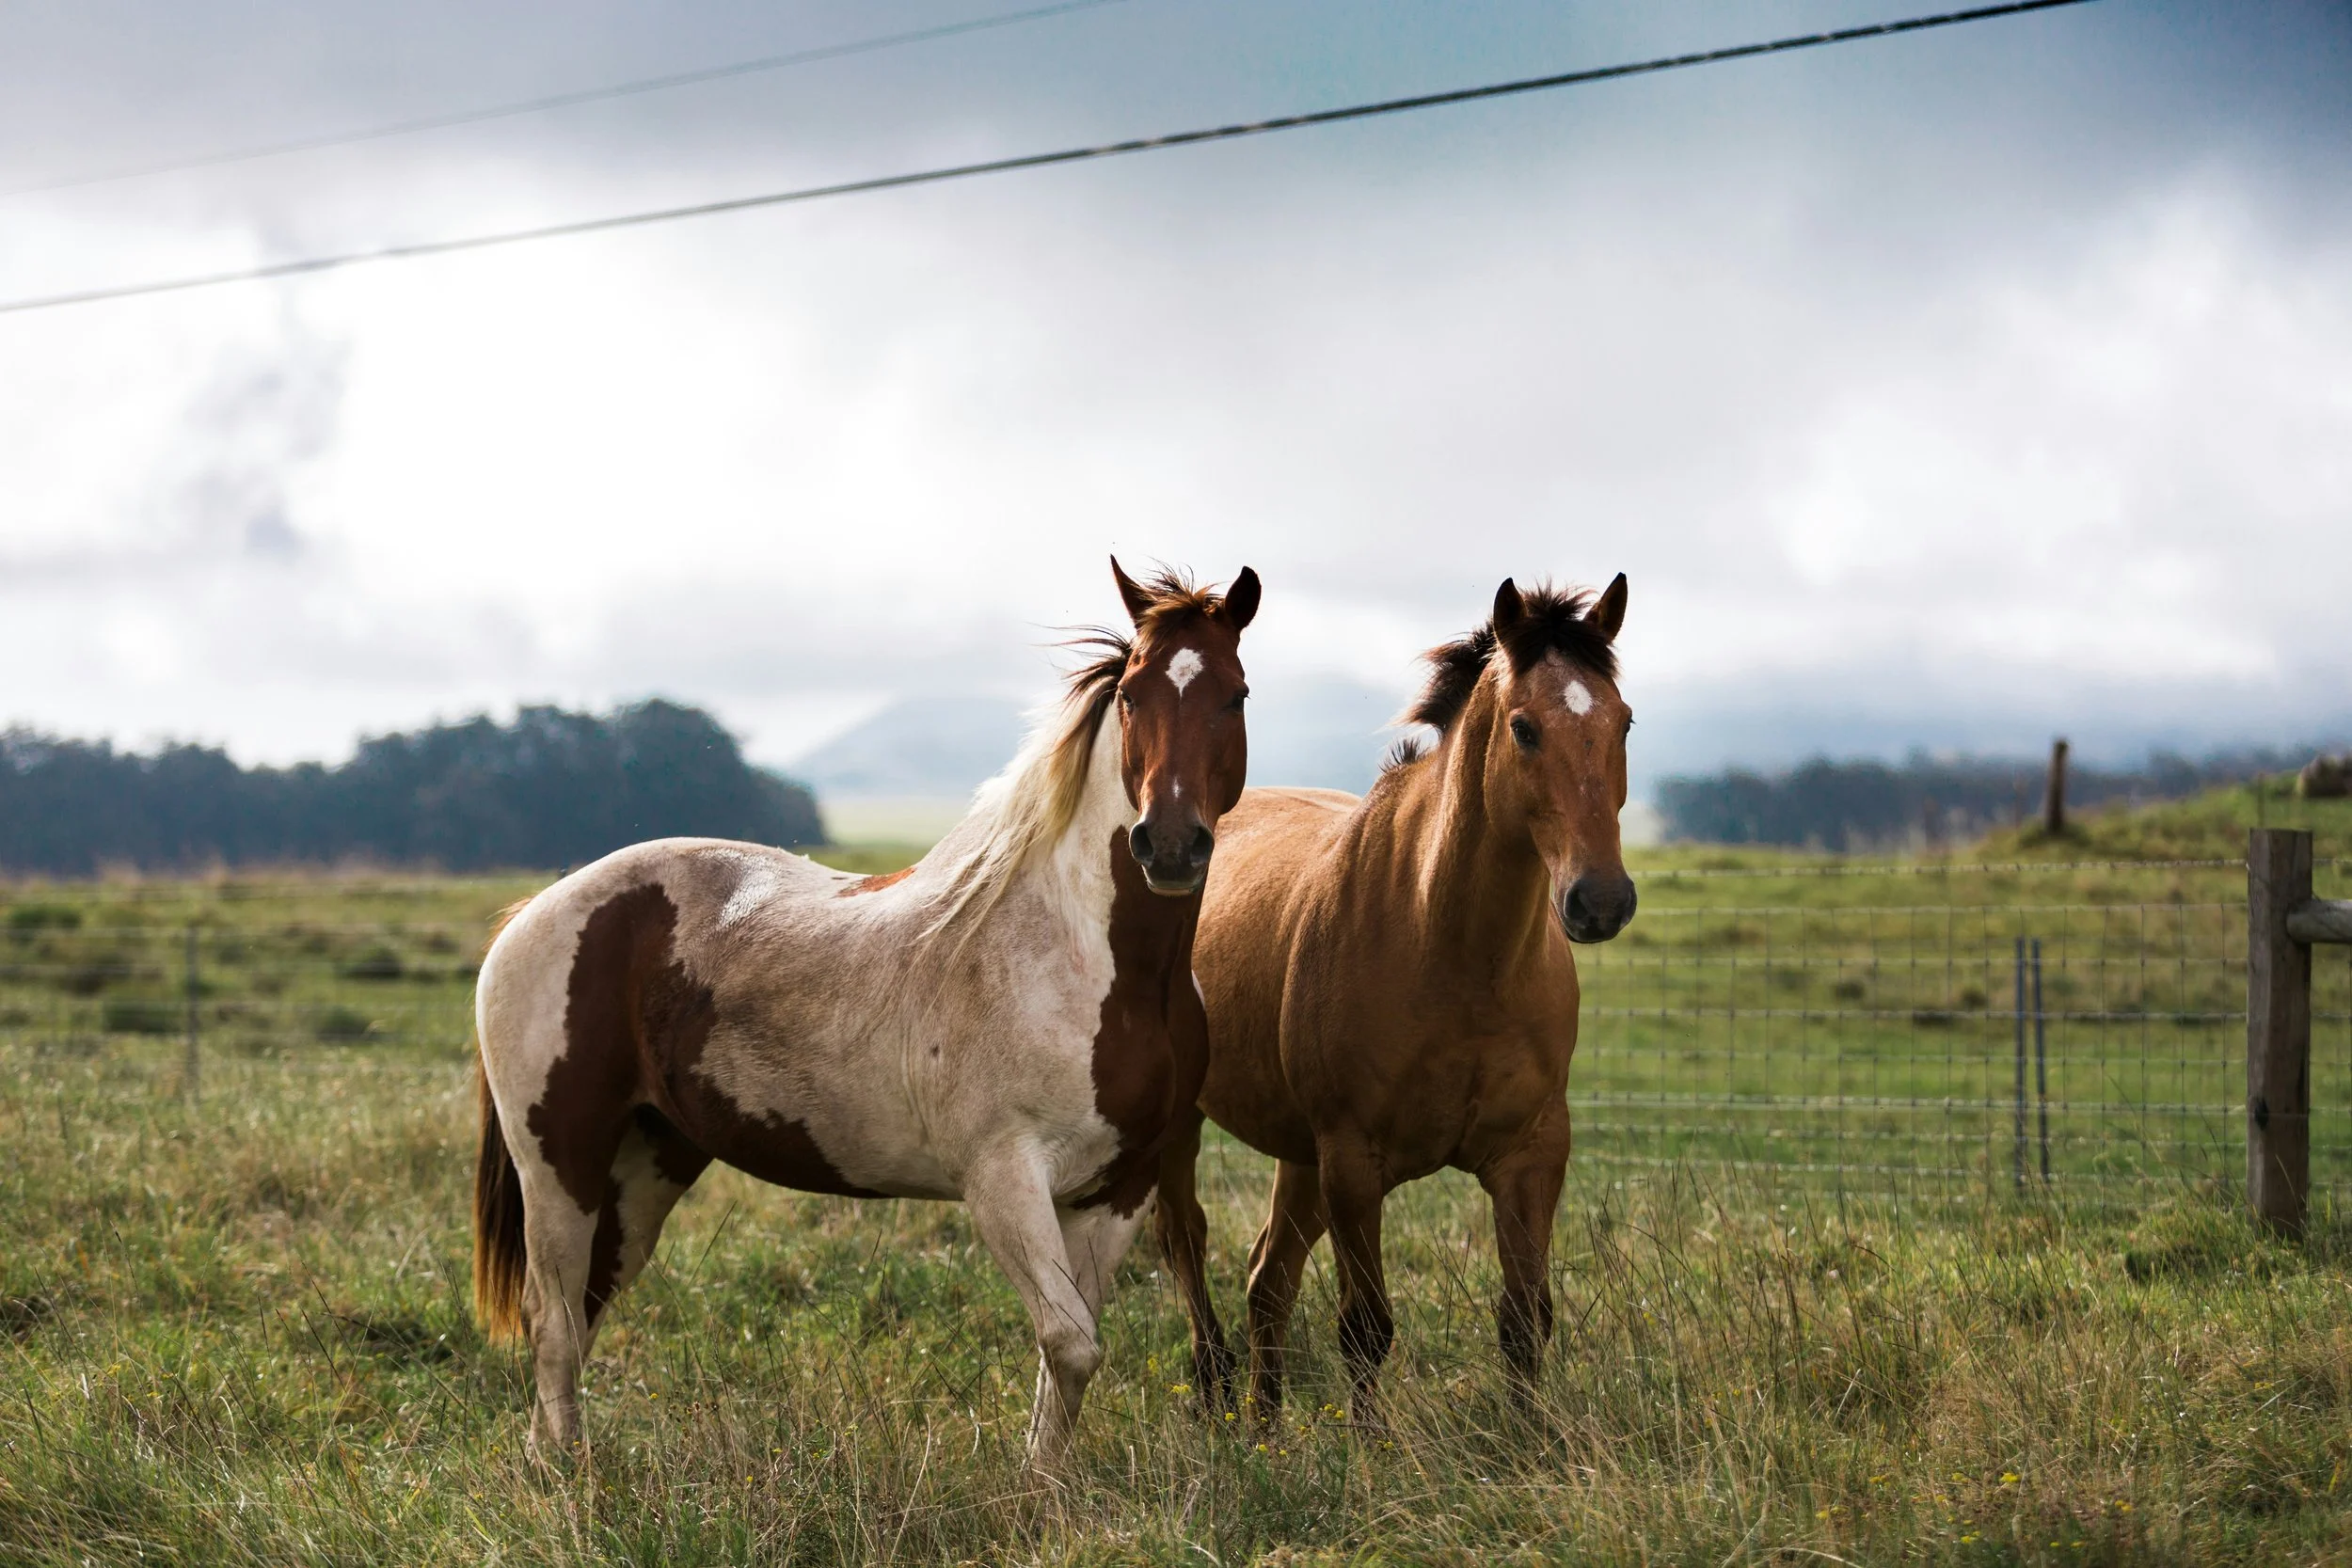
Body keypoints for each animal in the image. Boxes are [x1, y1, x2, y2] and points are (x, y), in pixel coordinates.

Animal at [471, 558, 1260, 1466]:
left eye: (1236, 693)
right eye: (1132, 693)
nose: (1169, 845)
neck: (1100, 965)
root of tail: (533, 910)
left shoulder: (1117, 1190)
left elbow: (1067, 1358)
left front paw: (1049, 1487)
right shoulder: (1003, 1179)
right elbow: (1069, 1344)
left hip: (646, 1165)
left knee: (585, 1308)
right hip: (558, 1164)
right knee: (555, 1321)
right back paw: (570, 1476)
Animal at [1154, 574, 1635, 1421]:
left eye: (1625, 721)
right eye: (1524, 727)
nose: (1600, 900)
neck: (1453, 955)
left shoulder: (1532, 1154)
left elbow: (1525, 1317)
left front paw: (1529, 1439)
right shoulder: (1354, 1162)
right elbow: (1366, 1328)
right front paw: (1372, 1449)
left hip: (1300, 1155)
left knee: (1267, 1281)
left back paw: (1265, 1431)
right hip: (1197, 1130)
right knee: (1190, 1243)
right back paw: (1217, 1395)